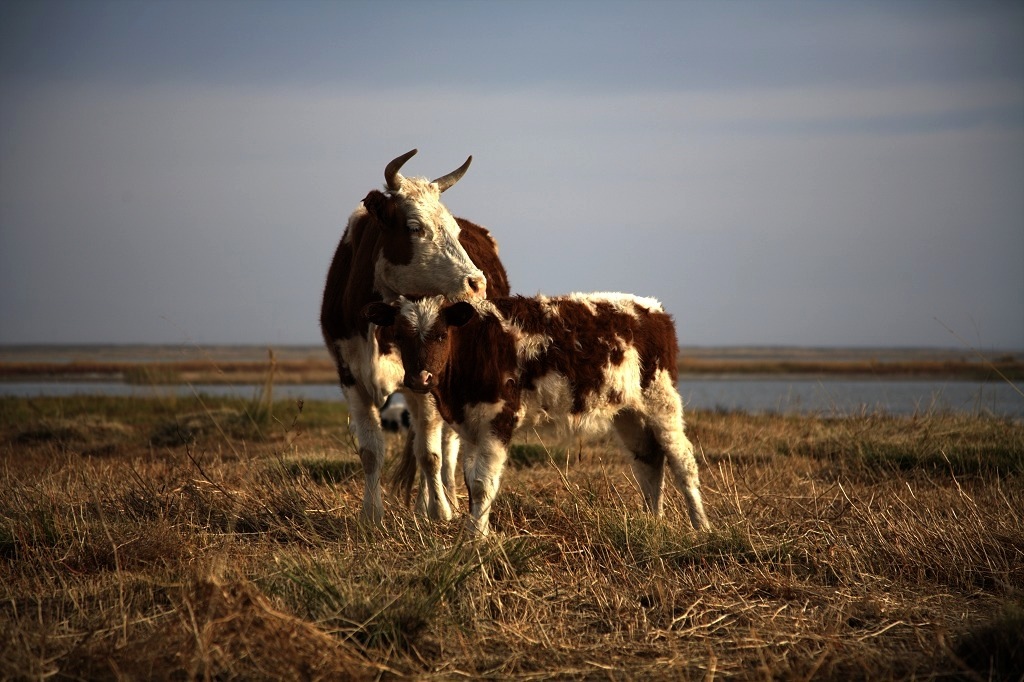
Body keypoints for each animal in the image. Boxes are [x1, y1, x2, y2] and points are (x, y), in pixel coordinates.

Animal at [319, 150, 507, 520]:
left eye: (455, 231)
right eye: (414, 227)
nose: (477, 283)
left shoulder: (428, 379)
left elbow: (429, 454)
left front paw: (440, 510)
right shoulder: (350, 378)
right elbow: (370, 451)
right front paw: (371, 515)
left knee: (445, 445)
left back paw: (441, 499)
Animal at [366, 288, 712, 532]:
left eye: (441, 335)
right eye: (400, 336)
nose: (419, 378)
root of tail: (652, 308)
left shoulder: (499, 418)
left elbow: (483, 483)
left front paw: (476, 538)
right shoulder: (470, 424)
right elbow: (471, 480)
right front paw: (477, 531)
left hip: (661, 400)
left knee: (682, 461)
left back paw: (701, 527)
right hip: (629, 414)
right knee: (648, 461)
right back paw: (654, 523)